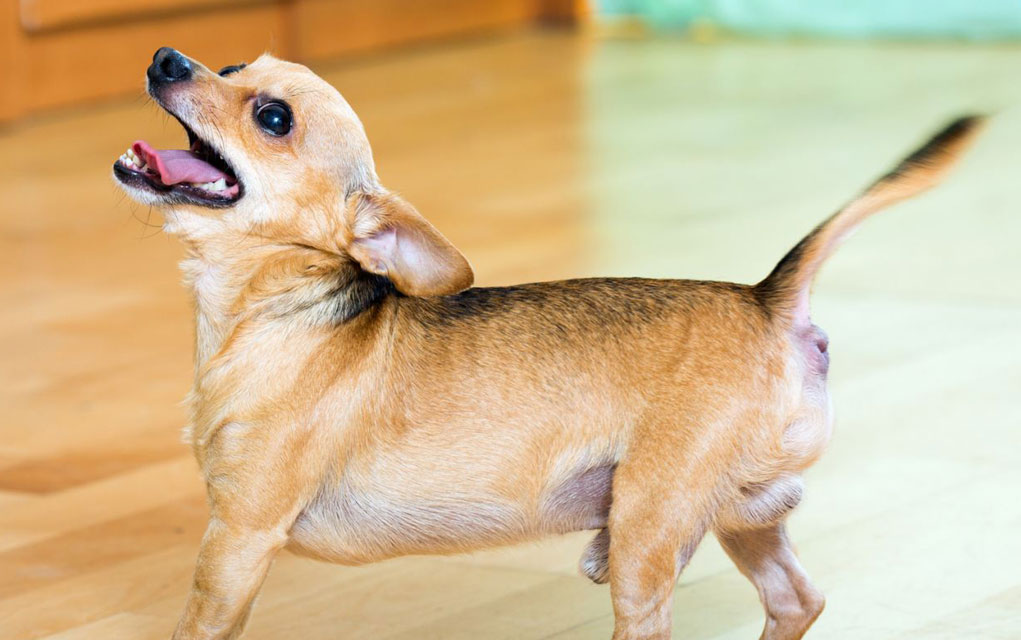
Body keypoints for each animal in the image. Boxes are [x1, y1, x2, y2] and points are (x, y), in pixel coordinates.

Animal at [115, 46, 984, 640]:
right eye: (232, 66)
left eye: (272, 118)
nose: (166, 58)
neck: (266, 311)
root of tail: (769, 302)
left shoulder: (236, 540)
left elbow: (198, 627)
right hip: (743, 513)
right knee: (795, 598)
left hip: (646, 530)